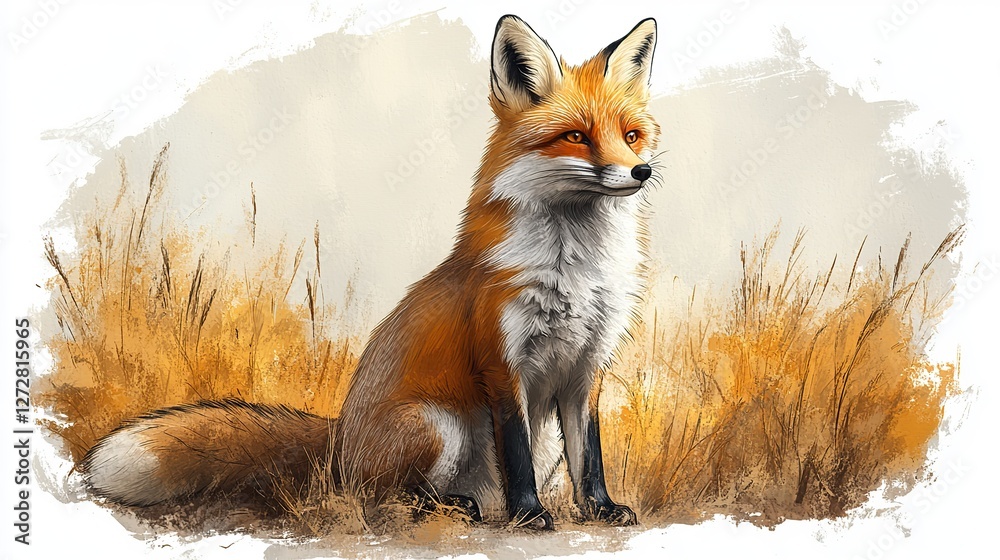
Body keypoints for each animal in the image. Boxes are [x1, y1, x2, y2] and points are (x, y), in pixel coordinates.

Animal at [80, 14, 661, 531]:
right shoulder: (503, 362)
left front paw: (600, 510)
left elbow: (590, 457)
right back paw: (455, 508)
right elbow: (515, 454)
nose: (641, 171)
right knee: (379, 499)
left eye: (631, 135)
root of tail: (341, 438)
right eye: (577, 137)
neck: (575, 270)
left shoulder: (586, 368)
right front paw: (529, 515)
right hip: (437, 426)